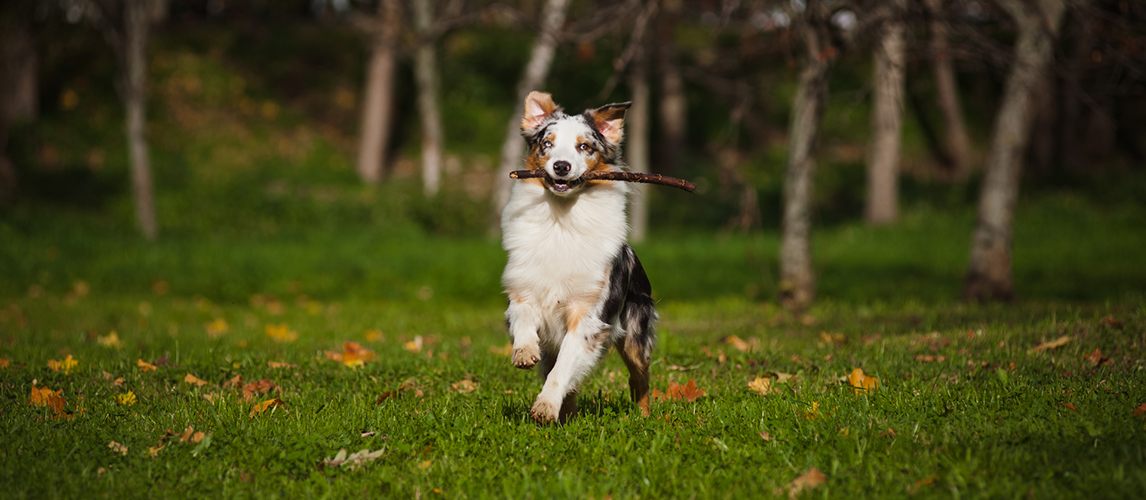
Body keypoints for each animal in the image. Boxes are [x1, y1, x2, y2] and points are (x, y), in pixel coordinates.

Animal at [499, 90, 655, 422]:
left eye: (584, 147)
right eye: (547, 144)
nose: (561, 166)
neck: (561, 220)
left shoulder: (588, 314)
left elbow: (565, 366)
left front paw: (545, 405)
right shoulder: (523, 291)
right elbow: (523, 317)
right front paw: (524, 350)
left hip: (635, 335)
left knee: (639, 378)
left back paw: (645, 417)